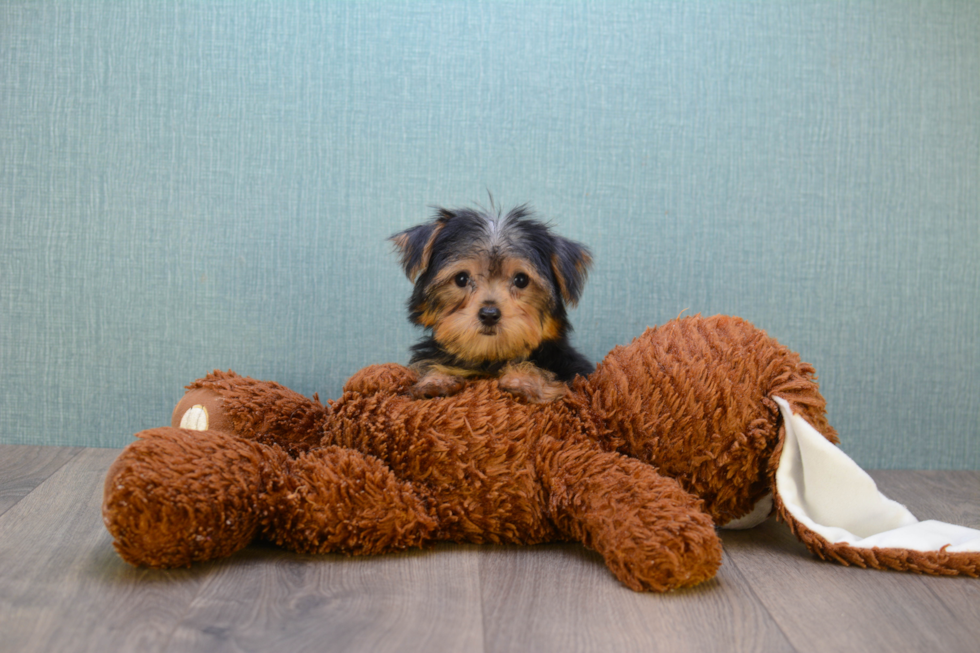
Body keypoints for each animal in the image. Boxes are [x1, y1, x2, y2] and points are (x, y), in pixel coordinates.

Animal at [388, 202, 588, 402]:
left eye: (521, 280)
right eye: (461, 279)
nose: (489, 314)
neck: (489, 356)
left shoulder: (567, 366)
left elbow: (542, 369)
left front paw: (524, 381)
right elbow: (431, 364)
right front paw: (436, 380)